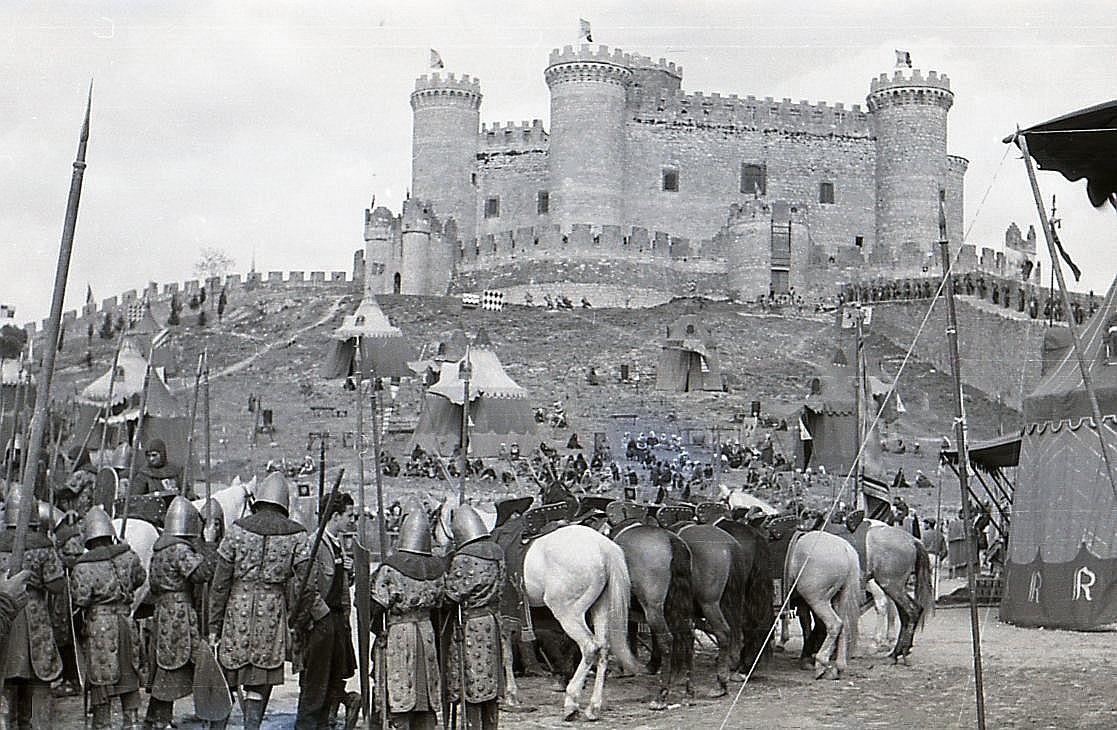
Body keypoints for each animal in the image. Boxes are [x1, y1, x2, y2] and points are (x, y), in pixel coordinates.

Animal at [786, 531, 862, 678]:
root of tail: (845, 548)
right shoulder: (802, 604)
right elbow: (806, 627)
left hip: (818, 600)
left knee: (834, 624)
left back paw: (821, 662)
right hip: (839, 598)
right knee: (843, 625)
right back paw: (838, 666)